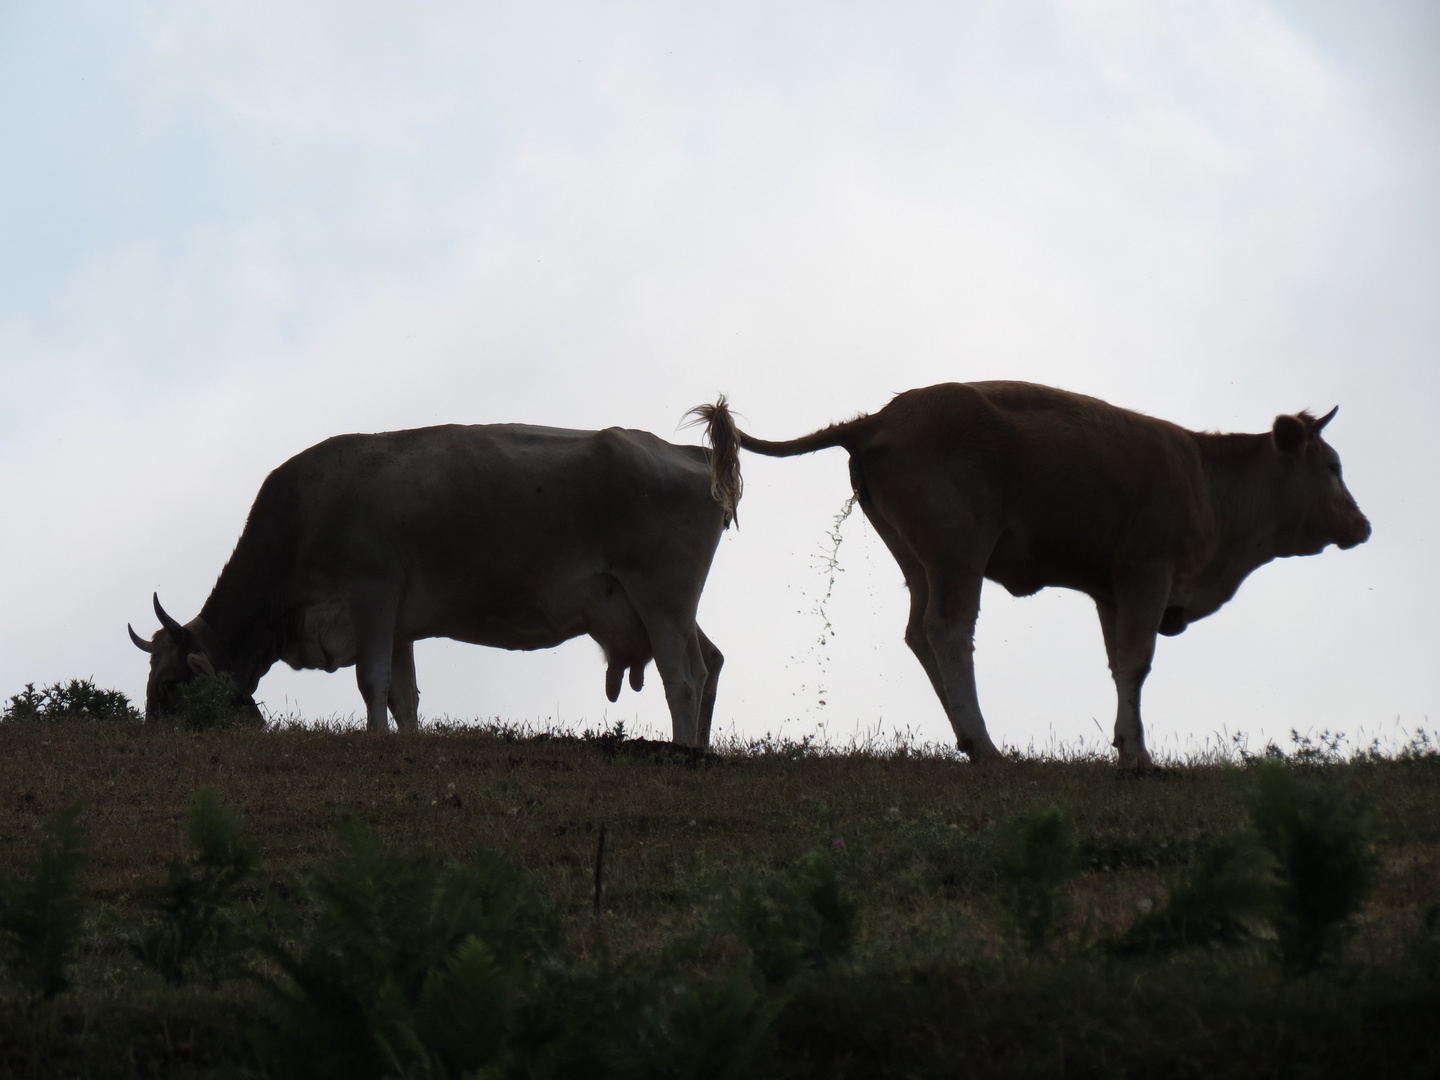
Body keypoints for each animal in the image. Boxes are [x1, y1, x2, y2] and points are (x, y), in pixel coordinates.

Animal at [129, 408, 743, 748]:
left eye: (169, 683)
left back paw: (685, 750)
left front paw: (374, 741)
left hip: (662, 596)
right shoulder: (398, 624)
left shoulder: (372, 592)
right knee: (711, 661)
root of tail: (684, 450)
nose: (150, 736)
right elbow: (404, 695)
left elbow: (371, 681)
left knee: (684, 676)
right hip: (658, 606)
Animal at [708, 385, 1370, 766]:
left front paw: (1126, 745)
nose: (1362, 525)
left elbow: (1119, 662)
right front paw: (1136, 755)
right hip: (958, 550)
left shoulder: (1111, 587)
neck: (1207, 477)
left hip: (918, 559)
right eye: (1332, 467)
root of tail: (878, 417)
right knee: (949, 631)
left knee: (920, 634)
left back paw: (969, 742)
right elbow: (1136, 661)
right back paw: (987, 746)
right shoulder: (1147, 569)